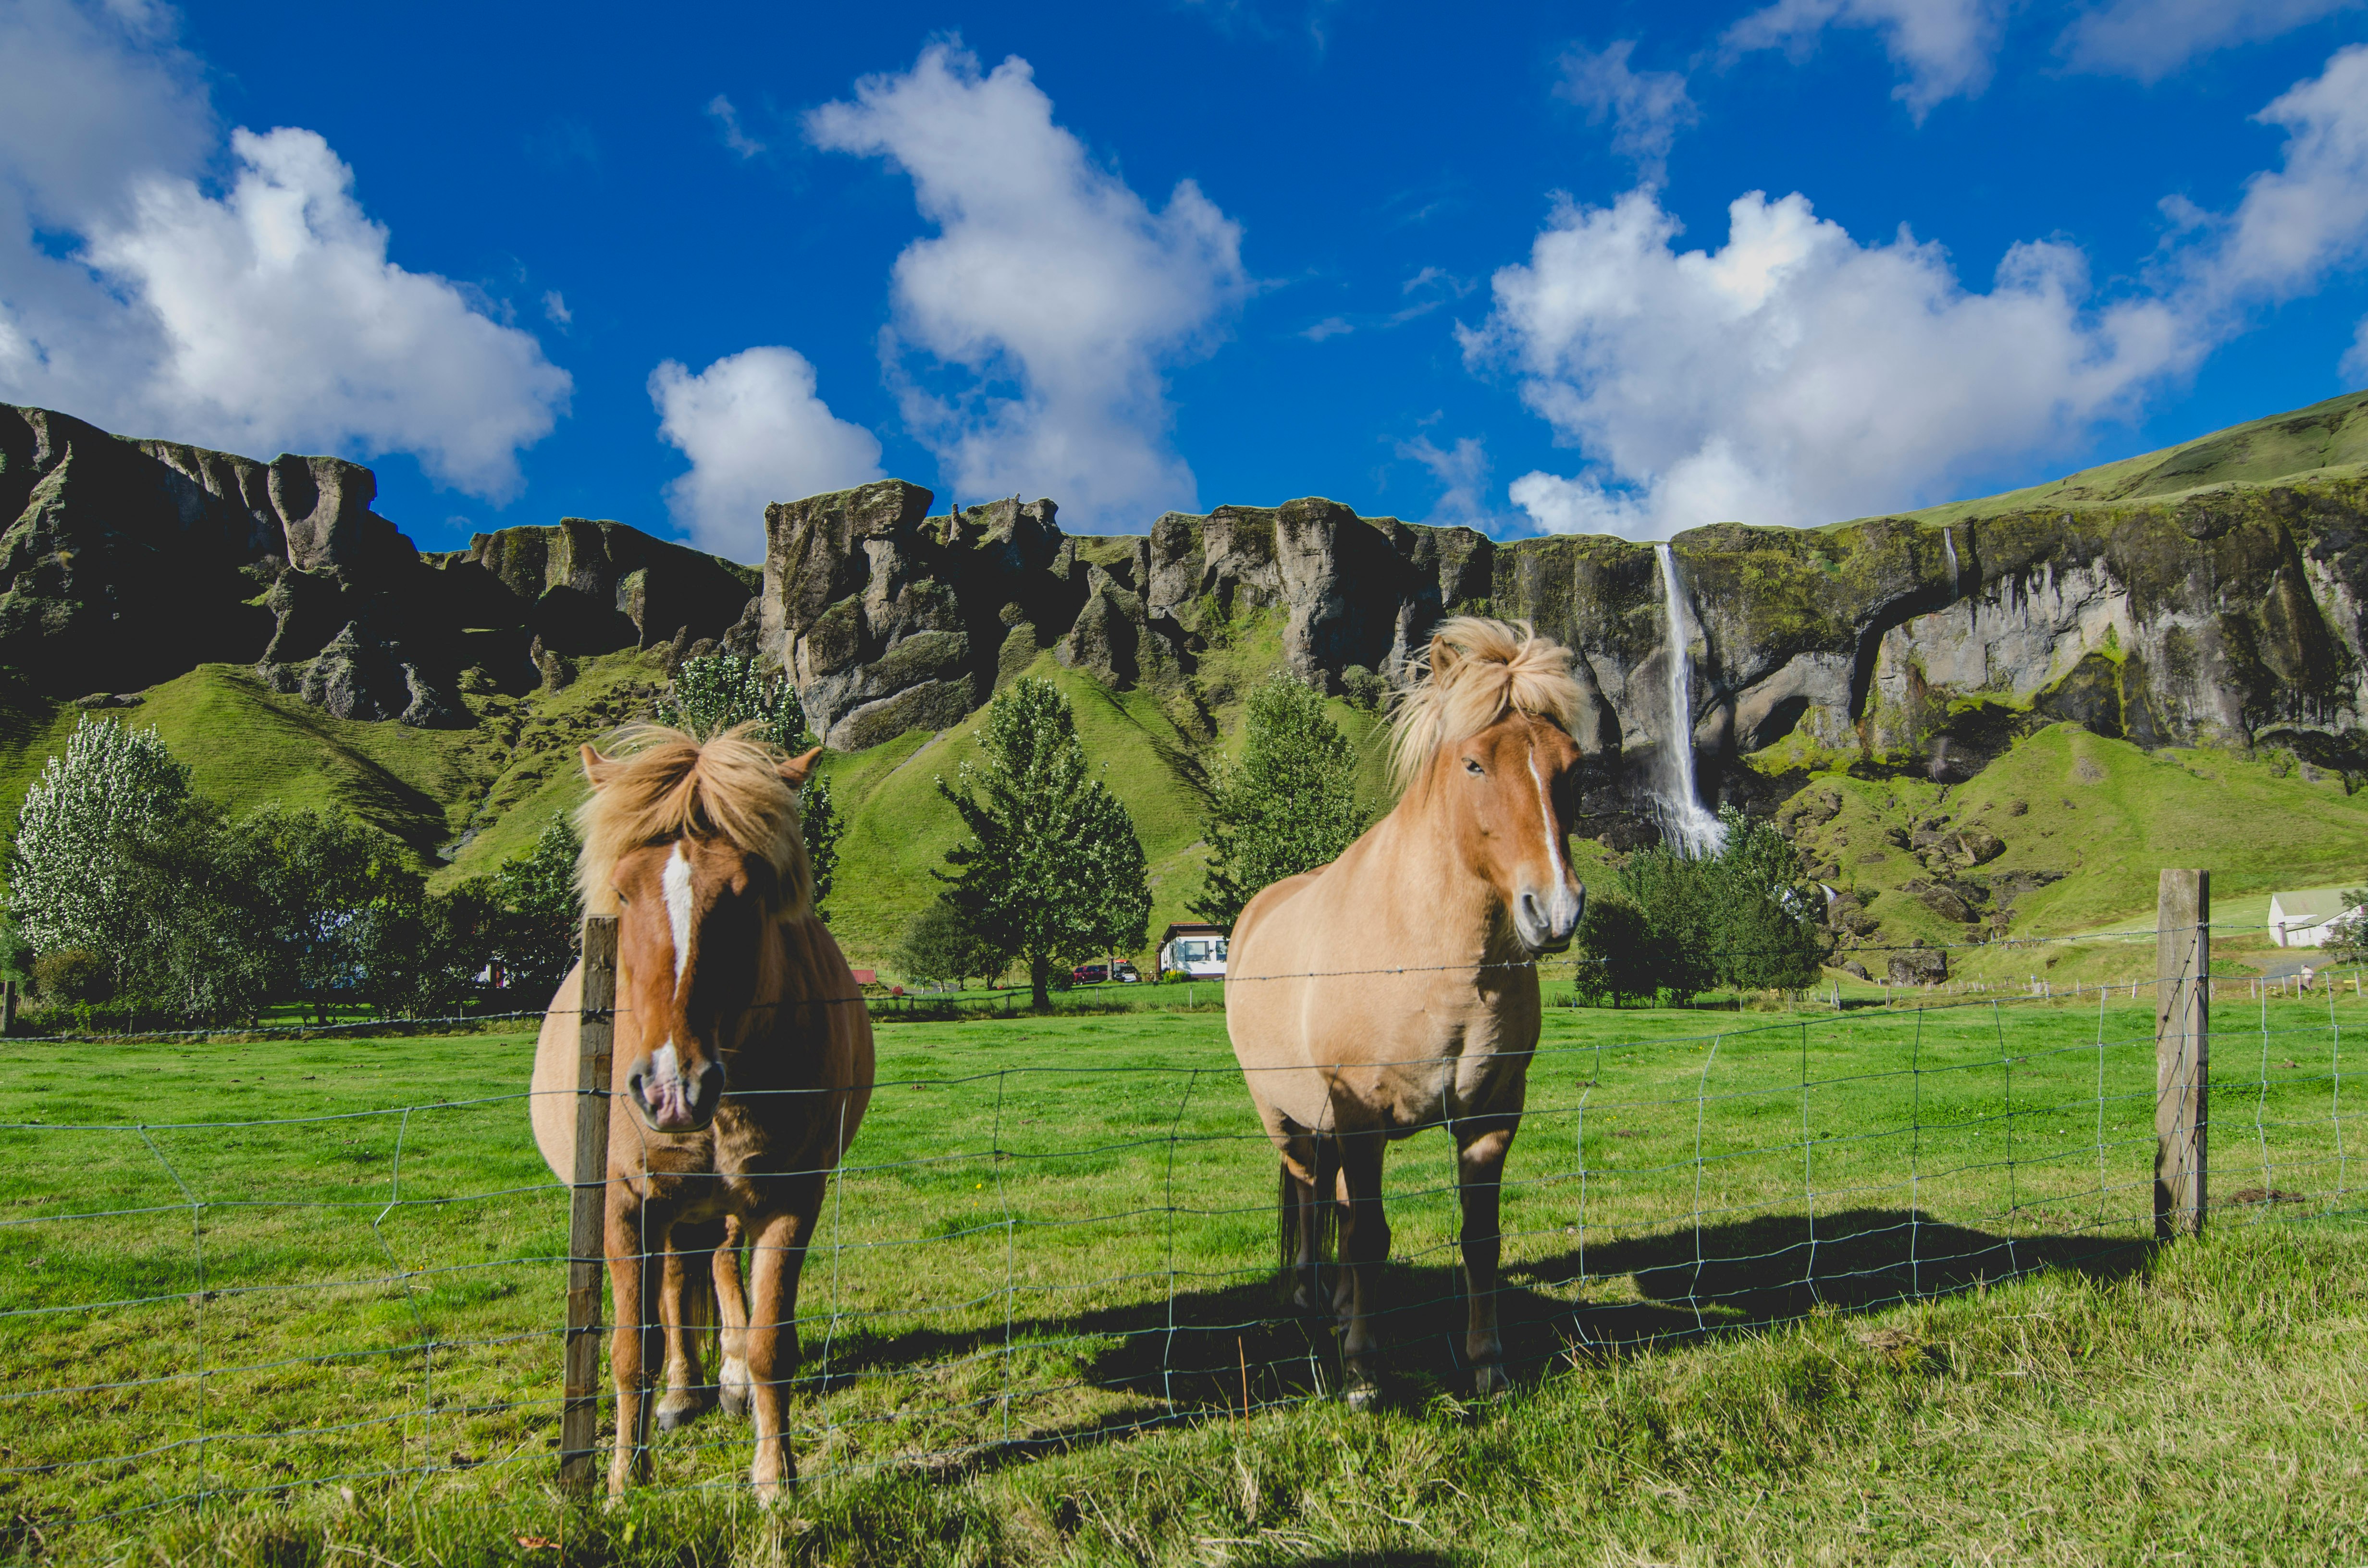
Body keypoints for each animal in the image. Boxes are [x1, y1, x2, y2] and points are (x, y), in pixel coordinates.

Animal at [532, 724, 876, 1497]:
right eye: (622, 892)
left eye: (749, 895)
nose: (671, 1088)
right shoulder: (623, 1205)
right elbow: (631, 1350)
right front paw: (623, 1484)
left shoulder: (789, 1198)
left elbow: (770, 1343)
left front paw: (775, 1481)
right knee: (676, 1282)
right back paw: (681, 1393)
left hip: (718, 1205)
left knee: (716, 1267)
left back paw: (724, 1382)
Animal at [1231, 615, 1581, 1411]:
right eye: (1475, 765)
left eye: (1571, 768)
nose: (1555, 910)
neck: (1429, 960)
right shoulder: (1362, 1120)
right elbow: (1369, 1240)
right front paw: (1364, 1374)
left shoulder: (1491, 1119)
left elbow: (1479, 1240)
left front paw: (1489, 1366)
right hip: (1288, 1120)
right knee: (1309, 1196)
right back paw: (1311, 1299)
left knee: (1332, 1199)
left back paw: (1336, 1304)